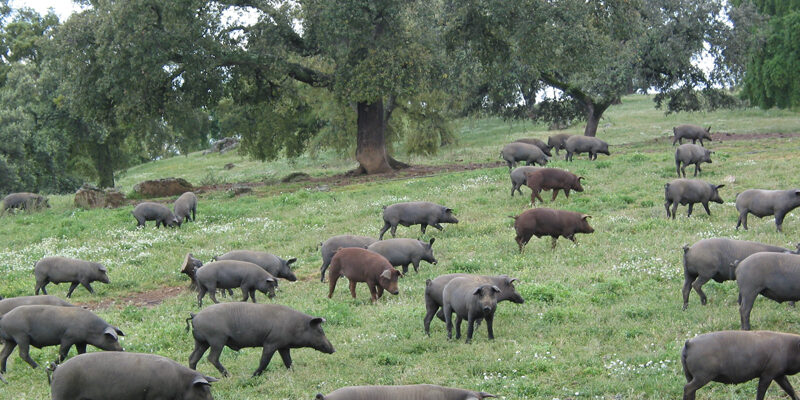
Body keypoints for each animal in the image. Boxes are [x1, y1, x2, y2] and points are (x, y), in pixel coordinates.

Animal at [187, 302, 335, 377]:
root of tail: (195, 316)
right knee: (212, 358)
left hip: (201, 342)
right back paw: (228, 375)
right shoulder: (271, 343)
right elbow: (264, 361)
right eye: (320, 331)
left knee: (192, 358)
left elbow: (288, 362)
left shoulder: (283, 346)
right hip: (217, 340)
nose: (333, 349)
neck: (294, 325)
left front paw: (293, 373)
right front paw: (253, 376)